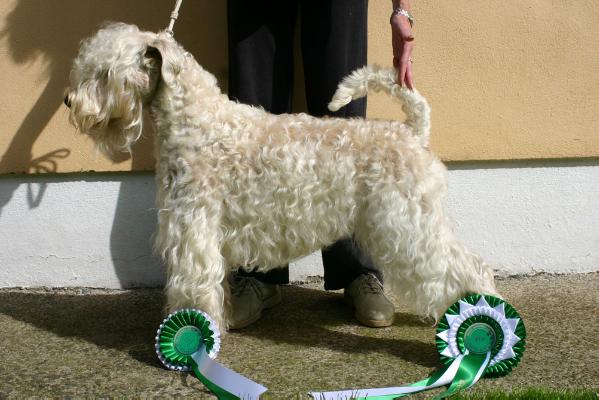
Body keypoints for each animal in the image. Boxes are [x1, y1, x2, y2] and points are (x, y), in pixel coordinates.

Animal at [65, 22, 500, 332]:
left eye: (105, 73)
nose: (69, 101)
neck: (197, 122)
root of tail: (413, 131)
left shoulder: (194, 229)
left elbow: (192, 286)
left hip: (409, 225)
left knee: (468, 267)